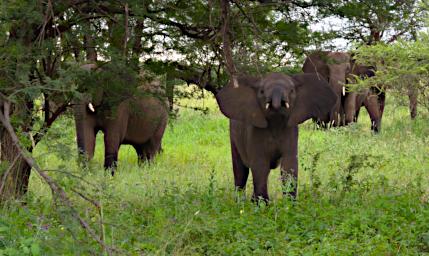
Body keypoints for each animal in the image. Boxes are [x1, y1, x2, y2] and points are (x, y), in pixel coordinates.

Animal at [216, 72, 336, 202]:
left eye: (292, 90)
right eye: (262, 91)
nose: (277, 104)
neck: (276, 120)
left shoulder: (291, 131)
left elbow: (289, 165)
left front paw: (289, 204)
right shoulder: (254, 132)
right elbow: (260, 165)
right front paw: (262, 204)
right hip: (233, 136)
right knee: (240, 171)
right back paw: (240, 202)